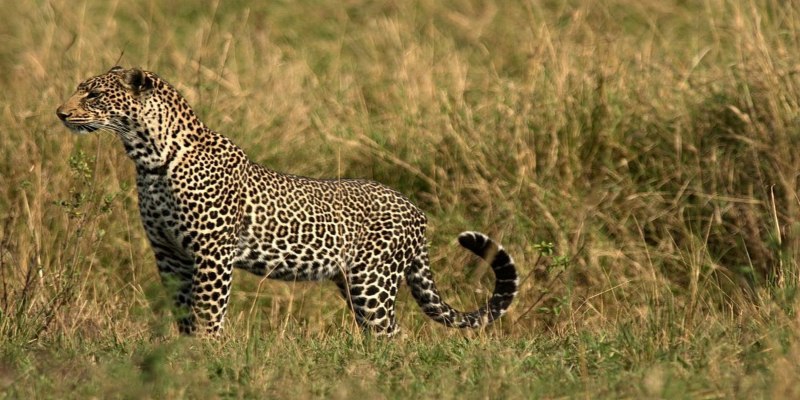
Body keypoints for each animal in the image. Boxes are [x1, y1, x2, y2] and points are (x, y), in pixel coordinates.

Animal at [56, 66, 519, 337]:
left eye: (93, 96)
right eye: (80, 91)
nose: (60, 113)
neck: (149, 157)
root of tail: (416, 211)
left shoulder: (212, 254)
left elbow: (208, 314)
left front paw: (206, 358)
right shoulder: (168, 253)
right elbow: (184, 313)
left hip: (374, 283)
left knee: (391, 335)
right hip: (353, 282)